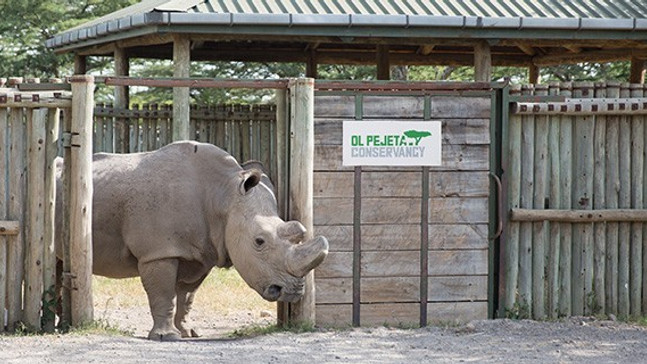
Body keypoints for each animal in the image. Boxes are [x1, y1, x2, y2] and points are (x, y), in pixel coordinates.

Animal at [55, 141, 330, 340]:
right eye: (259, 241)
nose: (292, 292)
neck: (223, 196)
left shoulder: (202, 253)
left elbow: (186, 296)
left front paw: (189, 332)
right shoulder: (159, 251)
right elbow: (163, 293)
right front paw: (166, 337)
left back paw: (59, 324)